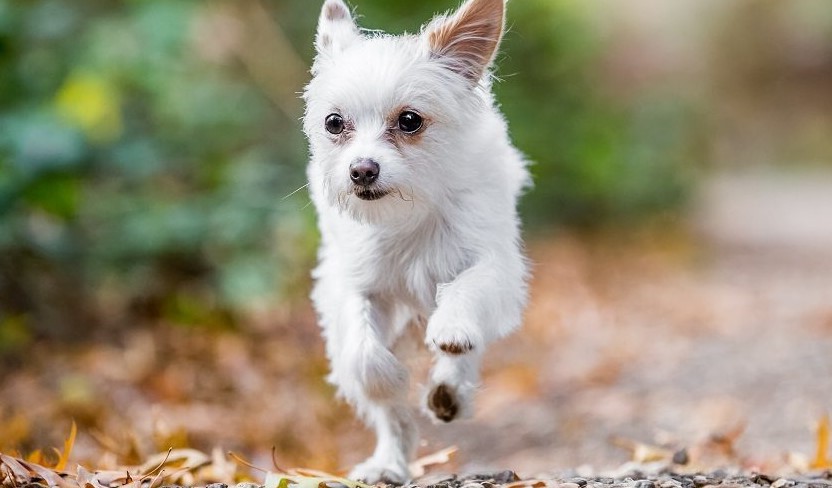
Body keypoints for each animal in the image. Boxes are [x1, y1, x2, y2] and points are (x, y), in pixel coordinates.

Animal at [302, 0, 528, 480]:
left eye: (409, 121)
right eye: (334, 123)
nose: (362, 170)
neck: (411, 212)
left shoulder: (493, 266)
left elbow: (466, 291)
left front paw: (453, 328)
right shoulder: (353, 285)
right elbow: (365, 359)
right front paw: (389, 380)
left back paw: (450, 389)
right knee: (387, 410)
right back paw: (389, 462)